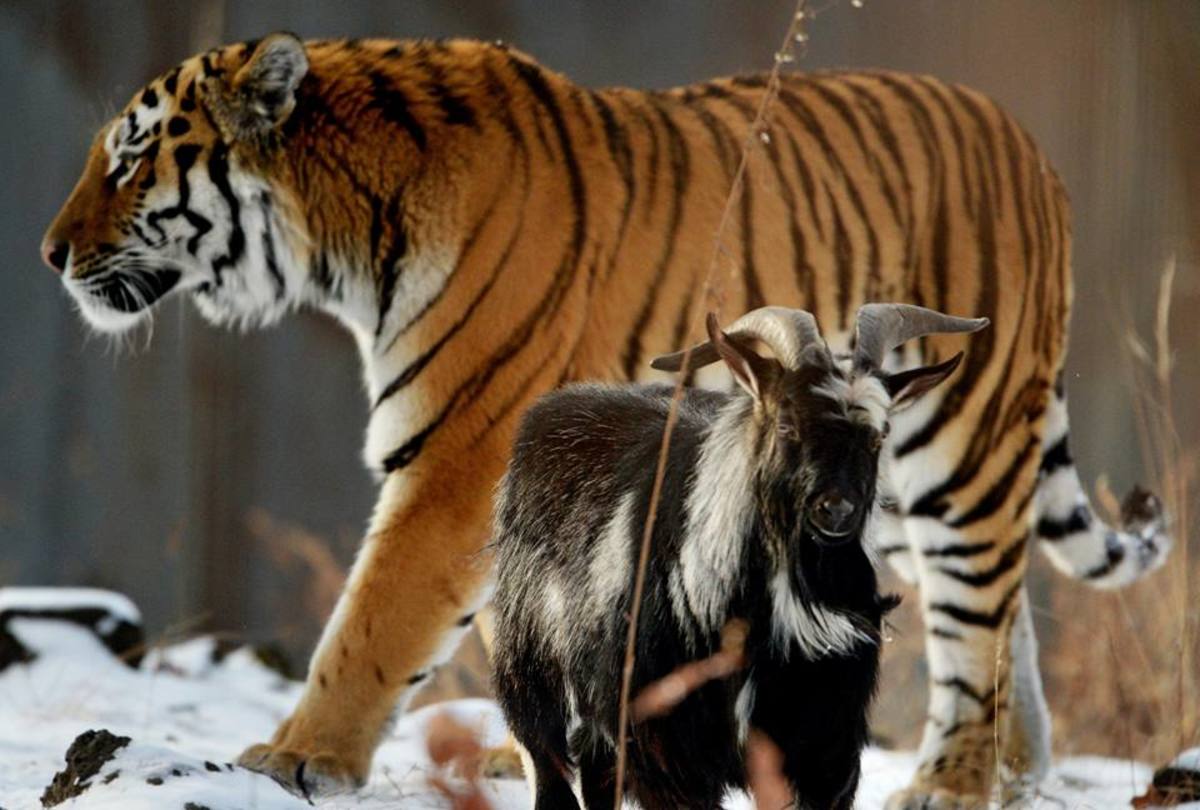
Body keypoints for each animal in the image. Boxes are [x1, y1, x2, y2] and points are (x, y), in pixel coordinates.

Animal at [492, 306, 988, 810]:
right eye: (787, 424)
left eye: (878, 435)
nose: (836, 509)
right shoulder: (669, 751)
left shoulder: (822, 751)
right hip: (531, 674)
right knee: (549, 765)